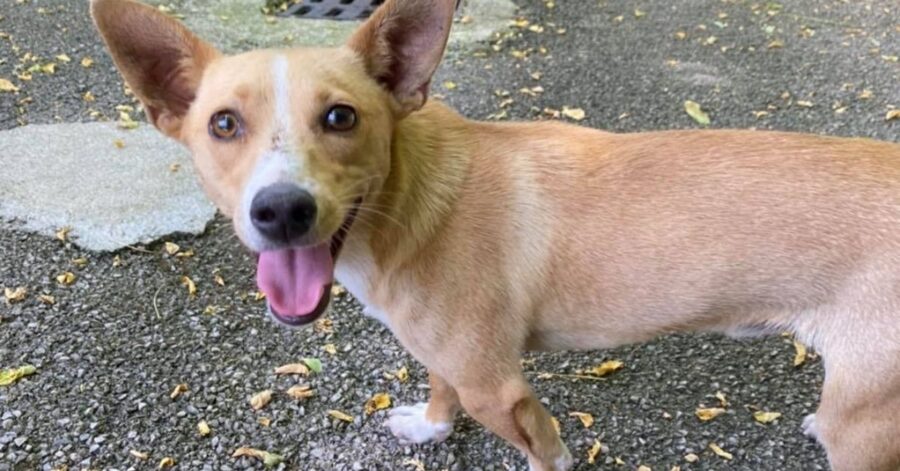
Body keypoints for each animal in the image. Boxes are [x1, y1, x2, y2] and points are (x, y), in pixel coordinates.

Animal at [91, 0, 900, 470]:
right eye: (223, 124)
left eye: (341, 116)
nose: (281, 210)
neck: (408, 201)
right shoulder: (449, 356)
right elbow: (438, 386)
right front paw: (430, 429)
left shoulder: (502, 390)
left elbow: (544, 452)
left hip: (861, 423)